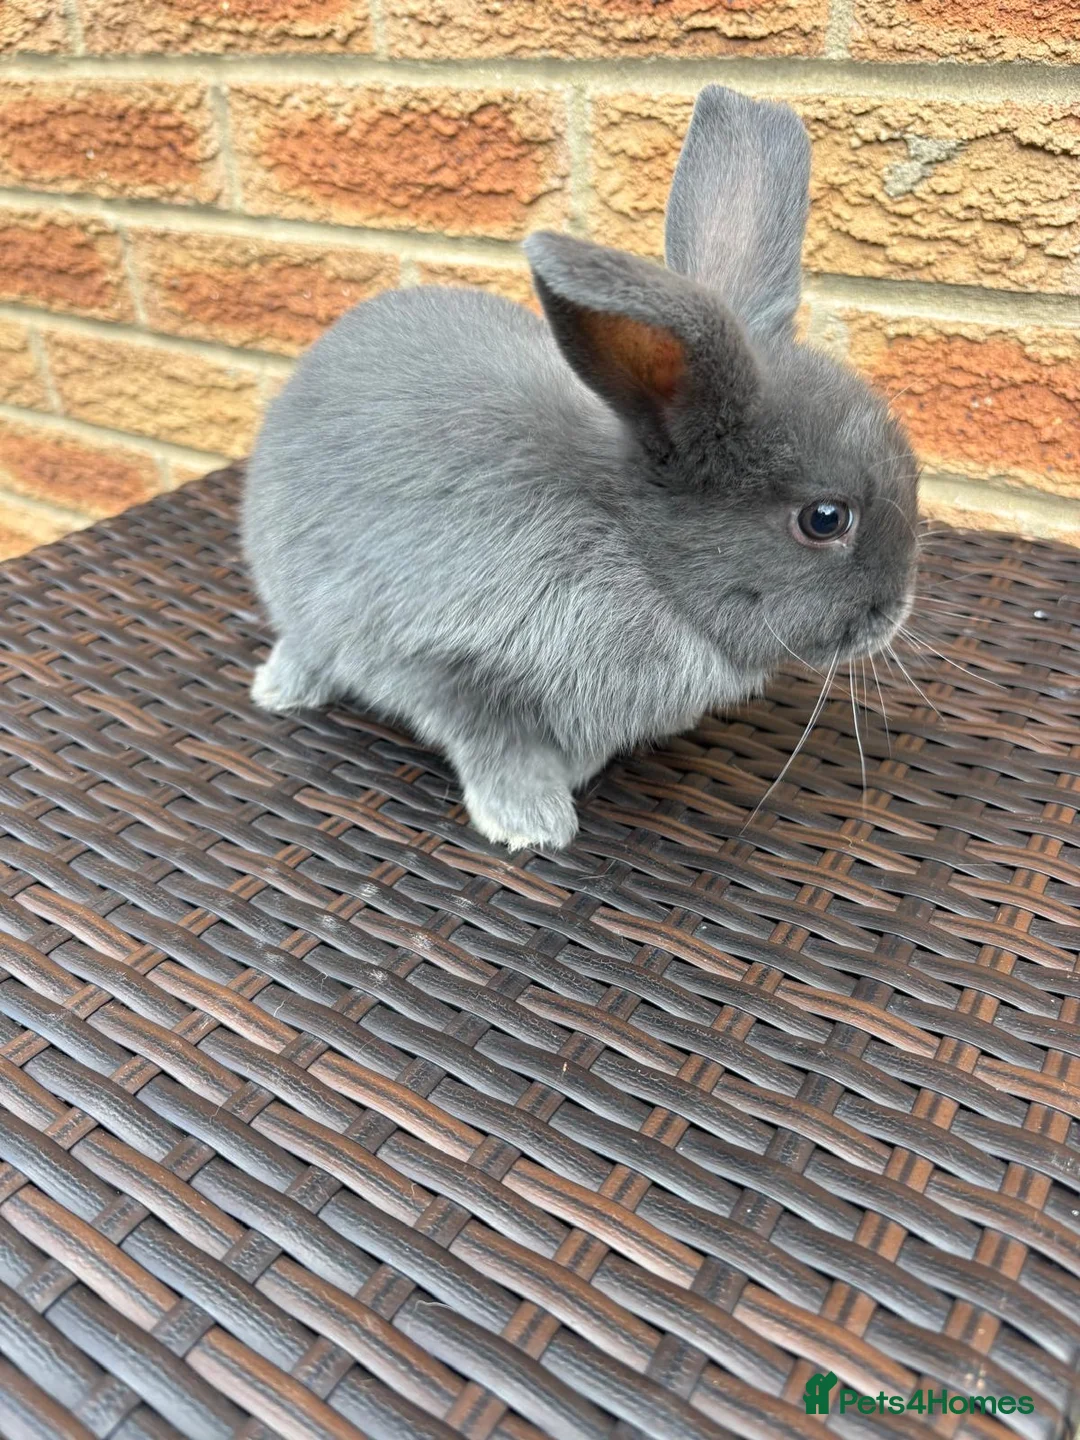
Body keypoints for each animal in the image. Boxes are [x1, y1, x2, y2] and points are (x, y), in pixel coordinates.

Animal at [242, 84, 919, 852]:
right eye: (825, 519)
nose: (896, 612)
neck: (625, 543)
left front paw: (575, 774)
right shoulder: (441, 663)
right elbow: (494, 744)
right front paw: (532, 820)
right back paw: (279, 690)